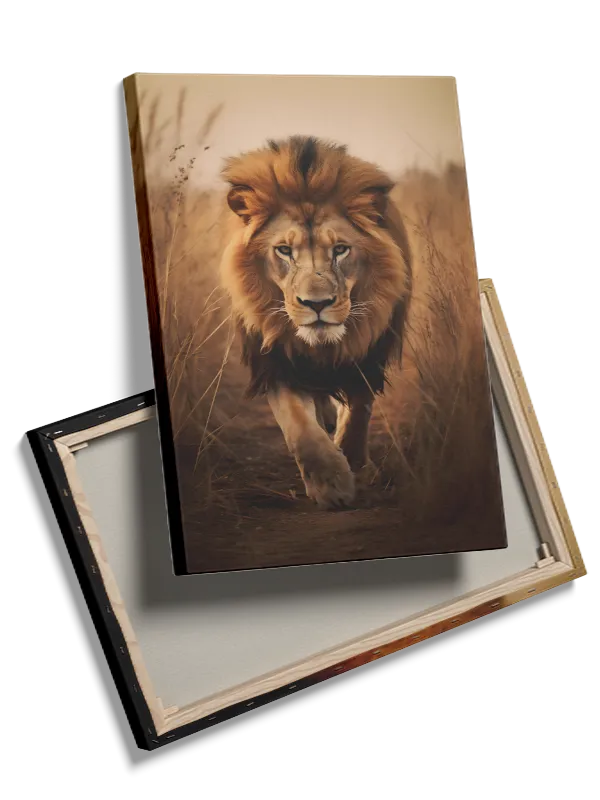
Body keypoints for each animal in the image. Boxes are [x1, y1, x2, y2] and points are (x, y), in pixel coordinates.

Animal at [219, 136, 412, 509]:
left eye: (340, 249)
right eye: (283, 250)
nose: (317, 304)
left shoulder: (369, 354)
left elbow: (359, 410)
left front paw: (353, 463)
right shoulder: (277, 362)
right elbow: (299, 427)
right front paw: (330, 483)